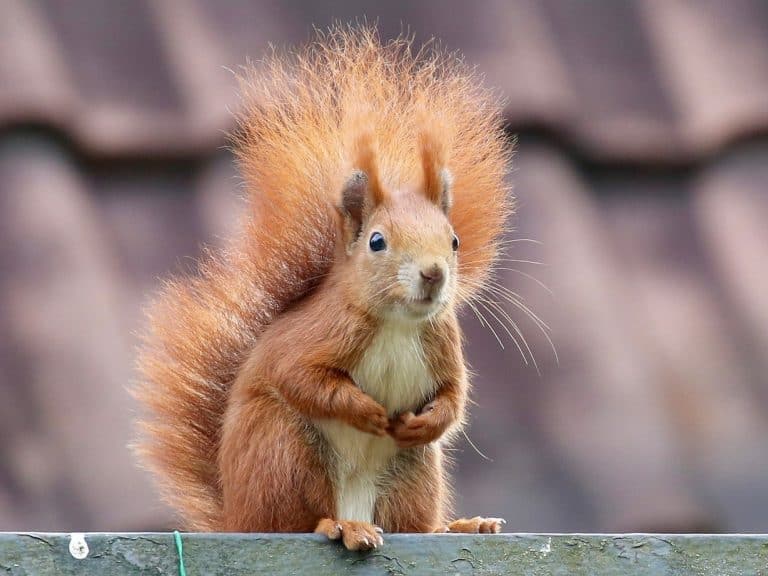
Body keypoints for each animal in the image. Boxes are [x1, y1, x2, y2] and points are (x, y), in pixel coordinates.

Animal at [135, 25, 512, 548]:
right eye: (377, 241)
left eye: (454, 241)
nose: (434, 273)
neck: (397, 324)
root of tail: (237, 516)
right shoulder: (320, 334)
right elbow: (302, 377)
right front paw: (367, 412)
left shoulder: (442, 343)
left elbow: (454, 399)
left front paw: (424, 421)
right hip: (283, 450)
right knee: (295, 520)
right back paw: (339, 526)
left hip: (412, 474)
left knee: (412, 524)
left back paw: (457, 526)